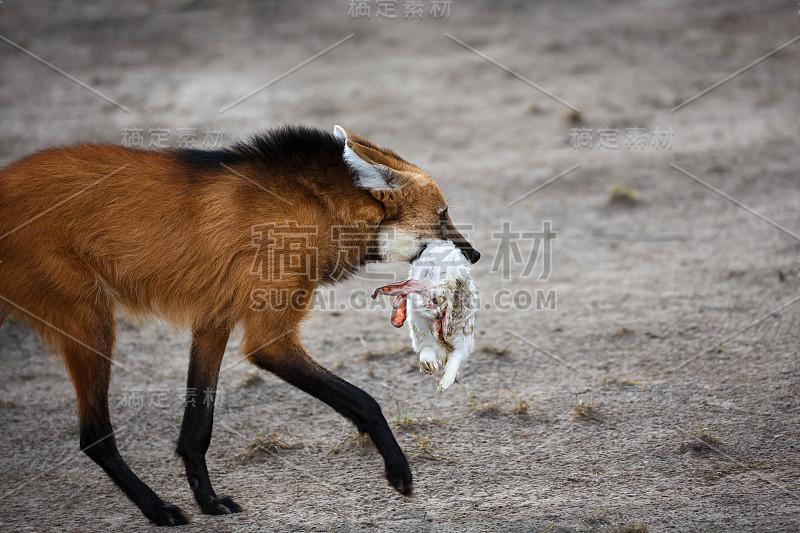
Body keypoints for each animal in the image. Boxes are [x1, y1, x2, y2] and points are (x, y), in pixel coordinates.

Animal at [0, 123, 478, 524]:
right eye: (442, 215)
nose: (473, 254)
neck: (316, 211)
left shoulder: (215, 318)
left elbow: (197, 429)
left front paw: (208, 501)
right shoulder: (269, 340)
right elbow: (365, 402)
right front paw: (398, 471)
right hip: (92, 321)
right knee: (95, 435)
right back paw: (157, 509)